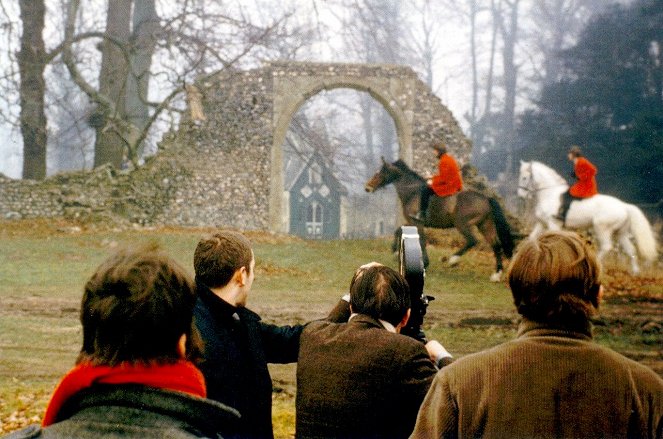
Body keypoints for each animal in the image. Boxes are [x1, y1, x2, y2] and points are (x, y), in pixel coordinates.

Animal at [366, 158, 516, 282]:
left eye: (380, 172)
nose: (367, 187)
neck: (412, 192)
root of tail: (486, 199)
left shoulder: (418, 222)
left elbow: (422, 240)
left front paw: (425, 264)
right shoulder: (411, 221)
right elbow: (398, 231)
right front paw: (395, 251)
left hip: (462, 224)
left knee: (472, 240)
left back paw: (453, 260)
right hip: (484, 225)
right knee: (496, 245)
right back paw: (496, 275)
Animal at [520, 160, 660, 274]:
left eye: (524, 178)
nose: (521, 195)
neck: (549, 194)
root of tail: (624, 206)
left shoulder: (553, 225)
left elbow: (553, 242)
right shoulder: (541, 223)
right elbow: (532, 239)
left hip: (602, 228)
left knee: (607, 247)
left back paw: (595, 265)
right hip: (620, 233)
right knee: (630, 250)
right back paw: (635, 272)